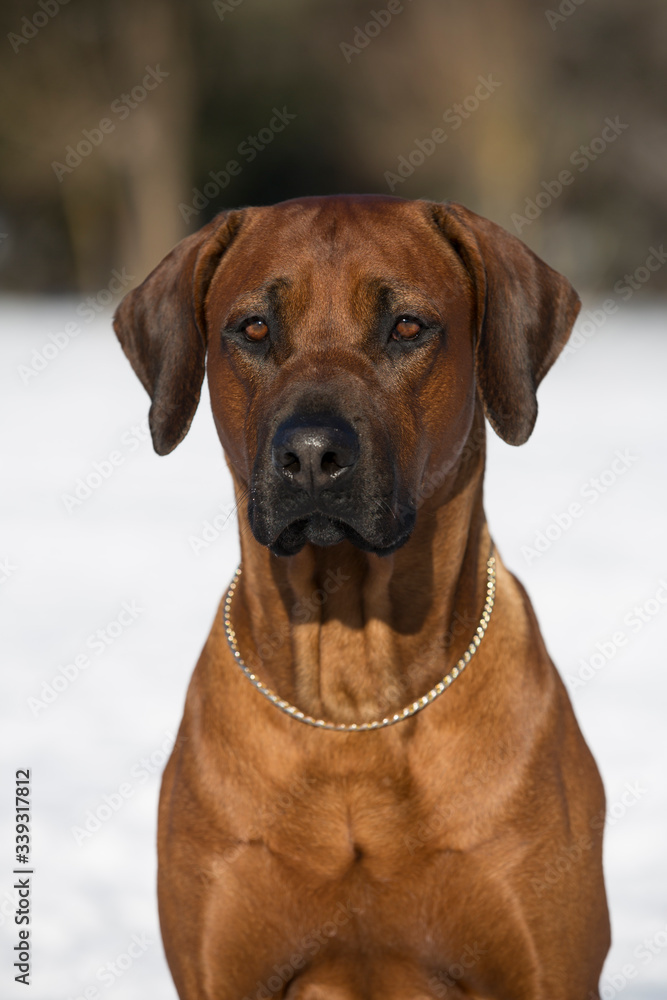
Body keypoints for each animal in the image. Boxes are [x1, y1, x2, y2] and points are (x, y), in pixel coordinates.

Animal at [113, 197, 612, 1000]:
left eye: (405, 326)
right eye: (254, 328)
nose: (313, 455)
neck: (354, 701)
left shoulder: (550, 969)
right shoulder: (220, 969)